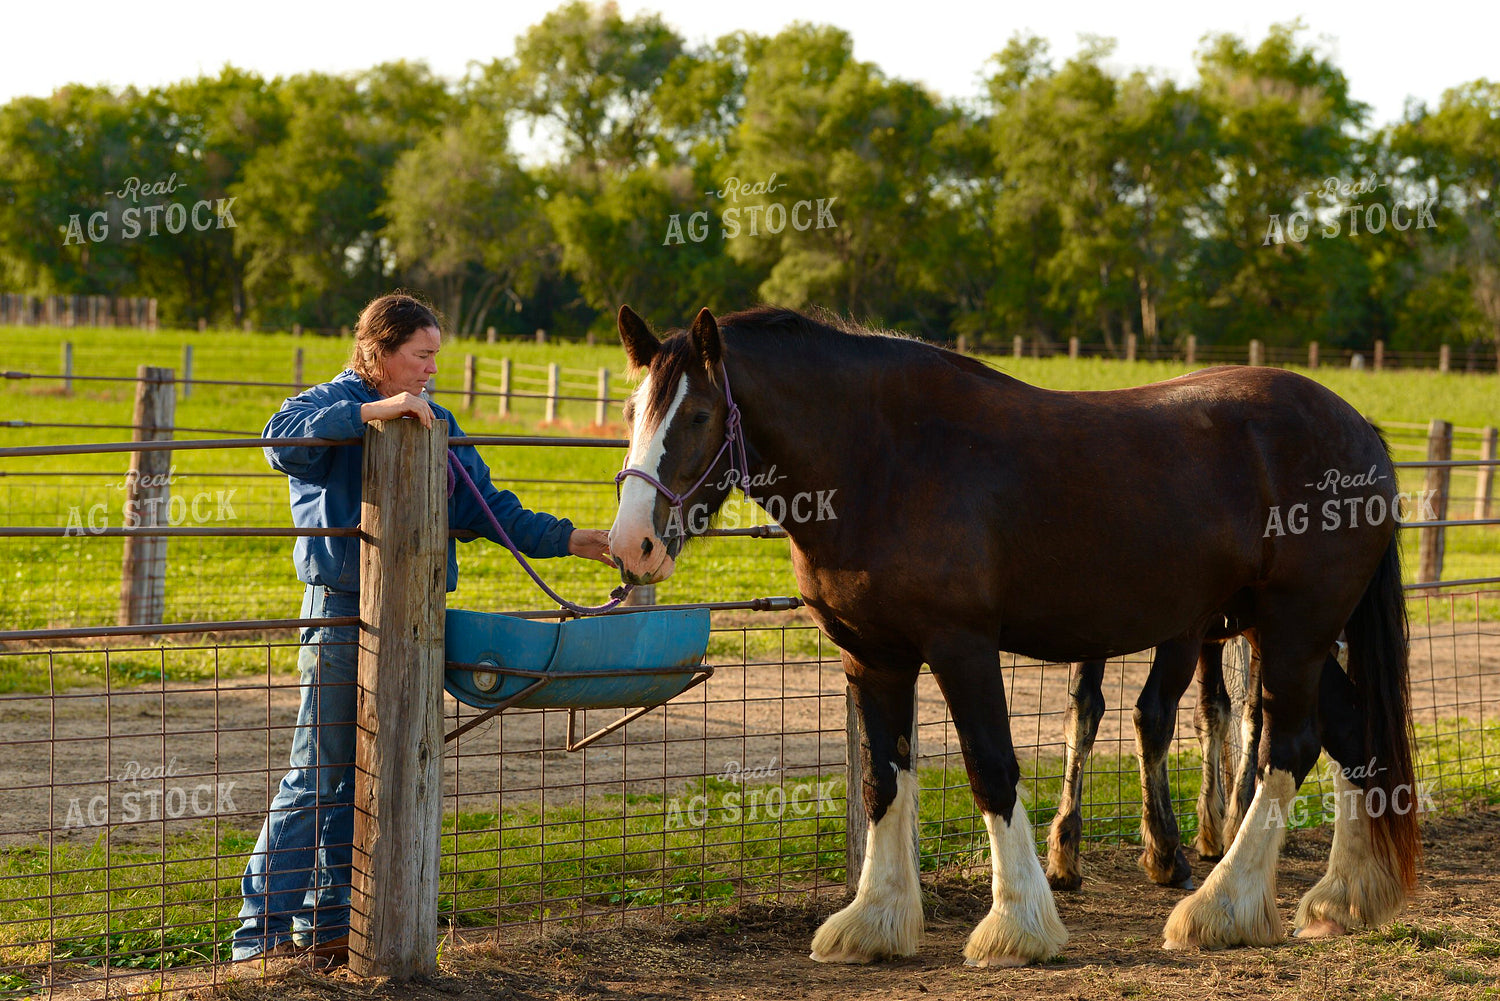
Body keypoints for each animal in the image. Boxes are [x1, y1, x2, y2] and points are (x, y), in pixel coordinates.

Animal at [607, 304, 1418, 965]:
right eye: (634, 407)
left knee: (1291, 746)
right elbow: (881, 780)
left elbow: (991, 768)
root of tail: (1359, 431)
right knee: (1352, 735)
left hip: (1295, 628)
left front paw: (1018, 925)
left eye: (699, 414)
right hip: (1289, 631)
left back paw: (1219, 908)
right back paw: (1342, 899)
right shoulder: (872, 656)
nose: (631, 544)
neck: (883, 458)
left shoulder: (962, 646)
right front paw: (876, 921)